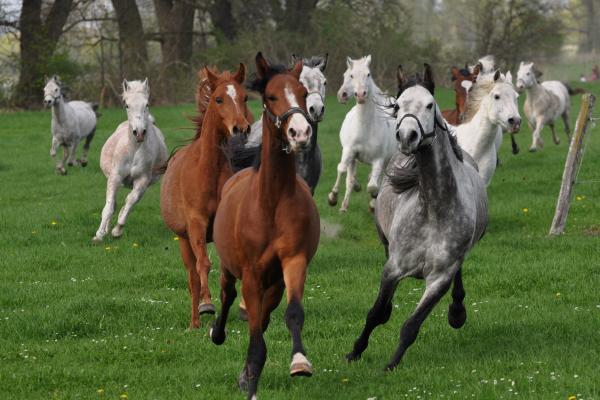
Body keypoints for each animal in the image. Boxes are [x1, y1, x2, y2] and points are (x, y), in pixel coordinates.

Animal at [159, 65, 251, 328]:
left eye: (245, 97)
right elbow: (203, 265)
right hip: (183, 240)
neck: (208, 170)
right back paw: (195, 321)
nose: (241, 128)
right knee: (192, 276)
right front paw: (207, 304)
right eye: (219, 99)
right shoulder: (196, 224)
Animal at [213, 53, 322, 400]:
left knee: (263, 315)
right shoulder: (251, 272)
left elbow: (292, 313)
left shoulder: (293, 261)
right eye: (272, 96)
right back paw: (216, 333)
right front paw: (251, 385)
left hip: (274, 284)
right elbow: (254, 334)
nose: (301, 132)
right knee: (227, 295)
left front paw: (299, 362)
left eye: (302, 93)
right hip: (229, 268)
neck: (272, 203)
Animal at [326, 56, 396, 214]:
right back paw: (344, 205)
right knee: (350, 176)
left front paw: (373, 203)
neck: (366, 127)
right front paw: (333, 198)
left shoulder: (378, 160)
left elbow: (373, 186)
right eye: (349, 75)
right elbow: (342, 169)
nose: (360, 95)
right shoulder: (349, 151)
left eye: (368, 74)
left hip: (388, 160)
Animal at [344, 65, 490, 368]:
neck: (434, 208)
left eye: (430, 104)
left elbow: (412, 325)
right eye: (398, 105)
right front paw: (355, 352)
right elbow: (377, 313)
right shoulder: (394, 267)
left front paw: (391, 365)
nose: (407, 136)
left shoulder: (440, 277)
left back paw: (457, 312)